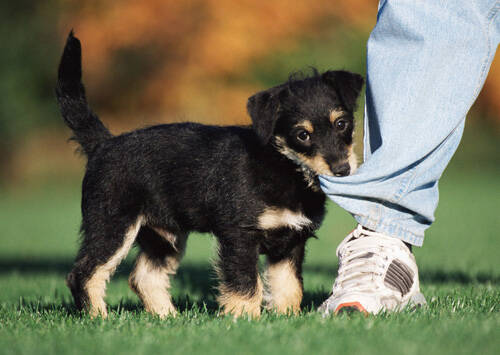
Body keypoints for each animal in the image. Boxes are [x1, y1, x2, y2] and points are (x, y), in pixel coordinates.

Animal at [56, 32, 364, 320]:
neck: (283, 166)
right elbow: (246, 283)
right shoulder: (240, 236)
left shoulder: (291, 240)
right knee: (84, 273)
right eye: (302, 135)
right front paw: (244, 318)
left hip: (163, 235)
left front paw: (286, 317)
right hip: (112, 225)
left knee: (144, 277)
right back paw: (99, 318)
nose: (342, 169)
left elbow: (288, 285)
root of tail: (103, 145)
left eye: (342, 124)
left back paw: (167, 317)